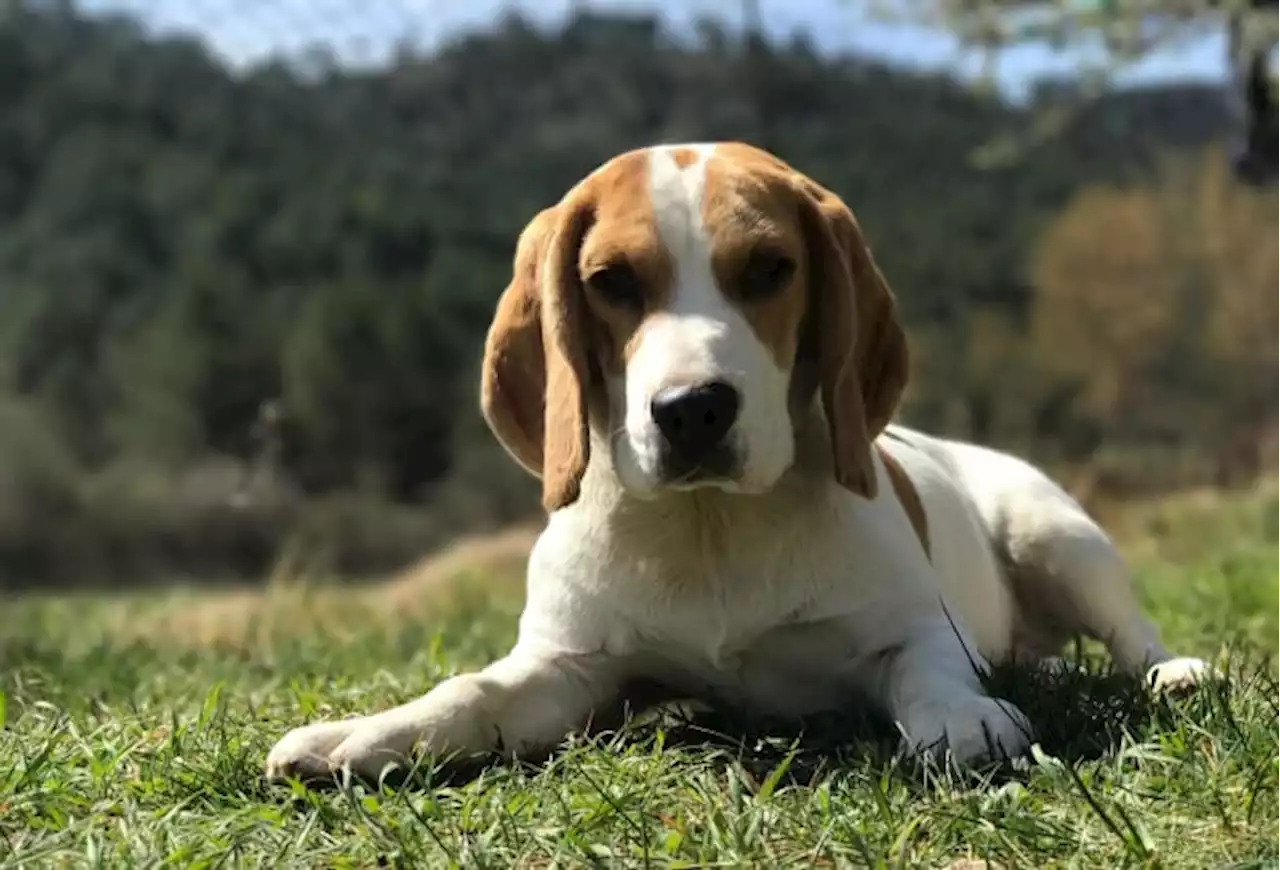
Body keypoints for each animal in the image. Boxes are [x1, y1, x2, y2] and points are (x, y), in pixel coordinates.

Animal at [262, 140, 1208, 783]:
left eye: (769, 268)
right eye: (610, 280)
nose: (692, 410)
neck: (710, 523)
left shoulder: (914, 627)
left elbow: (927, 671)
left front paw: (964, 716)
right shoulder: (565, 669)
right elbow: (472, 691)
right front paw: (365, 734)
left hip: (1056, 533)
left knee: (1129, 632)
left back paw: (1172, 673)